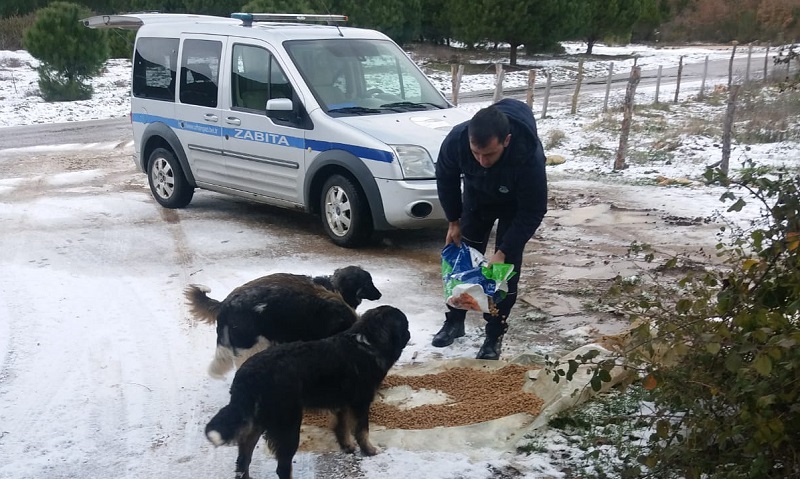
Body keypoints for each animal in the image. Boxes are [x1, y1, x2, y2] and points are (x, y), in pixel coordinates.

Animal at [206, 306, 410, 479]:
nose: (409, 334)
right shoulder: (360, 402)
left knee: (243, 462)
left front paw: (347, 446)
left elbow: (342, 427)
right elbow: (362, 431)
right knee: (282, 467)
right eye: (405, 324)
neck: (367, 344)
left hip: (257, 424)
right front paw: (369, 450)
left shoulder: (342, 403)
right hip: (288, 425)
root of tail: (247, 374)